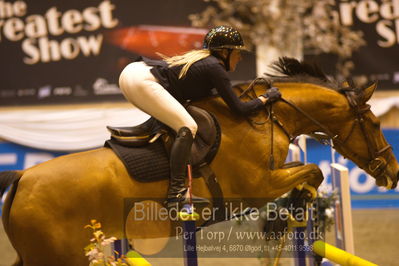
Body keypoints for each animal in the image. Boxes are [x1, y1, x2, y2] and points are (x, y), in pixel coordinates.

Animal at [2, 58, 399, 266]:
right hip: (57, 257)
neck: (263, 119)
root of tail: (21, 178)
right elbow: (313, 171)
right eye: (375, 123)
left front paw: (288, 213)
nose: (393, 174)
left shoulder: (271, 176)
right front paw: (293, 207)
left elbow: (307, 174)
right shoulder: (256, 187)